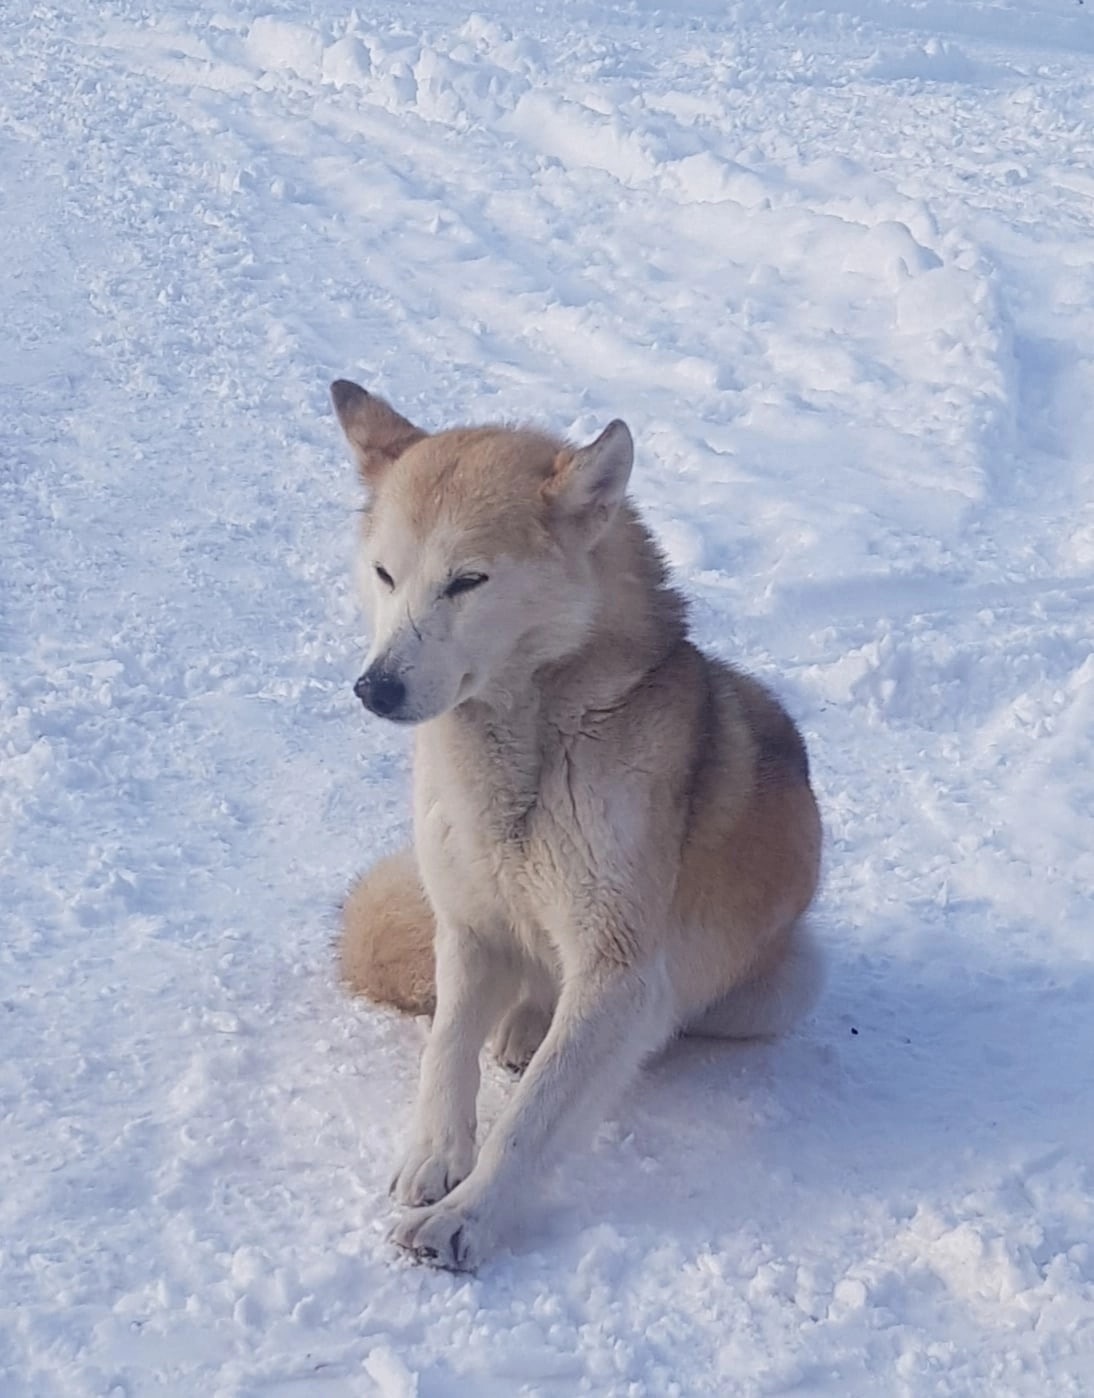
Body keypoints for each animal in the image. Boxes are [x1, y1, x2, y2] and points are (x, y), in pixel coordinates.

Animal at [333, 380, 821, 1269]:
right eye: (384, 573)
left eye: (468, 580)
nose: (375, 688)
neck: (522, 757)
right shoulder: (467, 926)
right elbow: (445, 1055)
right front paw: (432, 1160)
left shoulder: (618, 970)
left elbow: (529, 1119)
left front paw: (466, 1218)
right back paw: (522, 1025)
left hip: (781, 985)